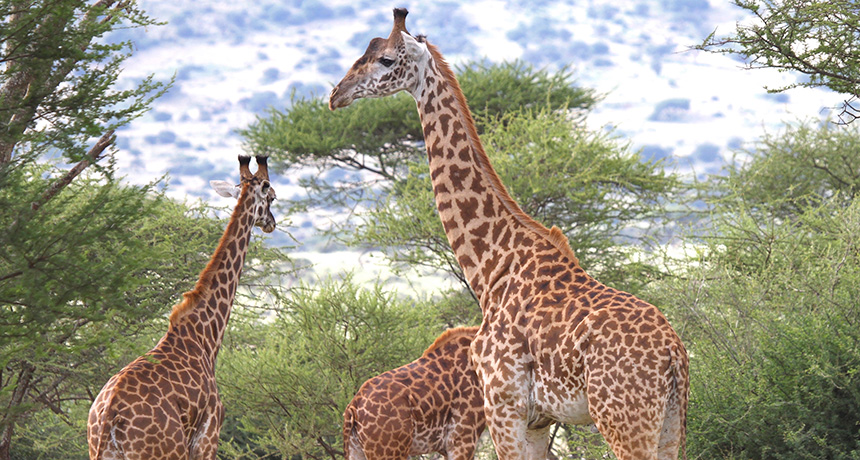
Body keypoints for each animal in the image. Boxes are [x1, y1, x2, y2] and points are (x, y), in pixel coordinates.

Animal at [86, 155, 277, 460]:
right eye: (271, 197)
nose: (271, 223)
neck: (206, 336)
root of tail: (108, 418)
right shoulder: (208, 437)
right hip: (166, 451)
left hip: (99, 451)